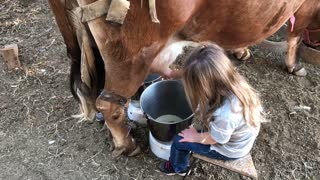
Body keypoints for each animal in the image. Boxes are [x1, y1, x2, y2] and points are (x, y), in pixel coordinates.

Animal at [48, 0, 320, 157]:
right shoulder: (305, 7)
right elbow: (295, 36)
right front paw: (294, 66)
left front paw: (240, 50)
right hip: (132, 53)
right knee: (109, 103)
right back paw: (127, 145)